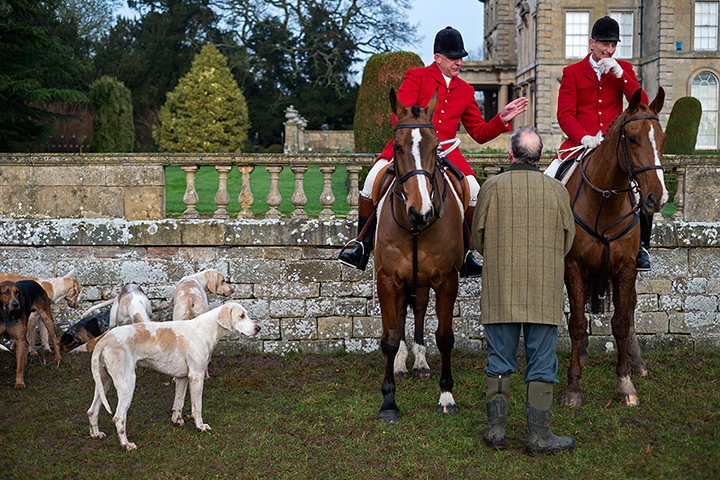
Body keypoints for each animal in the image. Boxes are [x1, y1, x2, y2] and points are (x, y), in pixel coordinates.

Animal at [87, 304, 260, 450]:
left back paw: (96, 434)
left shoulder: (182, 378)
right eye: (242, 315)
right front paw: (200, 426)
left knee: (91, 411)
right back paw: (126, 444)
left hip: (104, 382)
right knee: (118, 417)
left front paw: (177, 421)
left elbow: (179, 402)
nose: (258, 328)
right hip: (127, 384)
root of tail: (105, 339)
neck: (205, 329)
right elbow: (197, 406)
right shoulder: (196, 376)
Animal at [372, 88, 466, 422]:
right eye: (397, 146)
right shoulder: (388, 279)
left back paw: (421, 363)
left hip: (423, 279)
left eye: (436, 146)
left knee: (421, 308)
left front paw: (447, 395)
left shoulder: (447, 279)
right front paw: (388, 402)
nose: (421, 212)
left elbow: (445, 336)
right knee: (402, 313)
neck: (414, 227)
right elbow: (388, 338)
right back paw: (402, 363)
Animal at [560, 87, 668, 408]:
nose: (658, 198)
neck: (604, 201)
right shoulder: (573, 266)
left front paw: (625, 382)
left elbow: (620, 322)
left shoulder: (626, 266)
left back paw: (638, 362)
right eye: (632, 139)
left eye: (662, 138)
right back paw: (583, 356)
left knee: (630, 308)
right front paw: (573, 387)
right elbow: (577, 322)